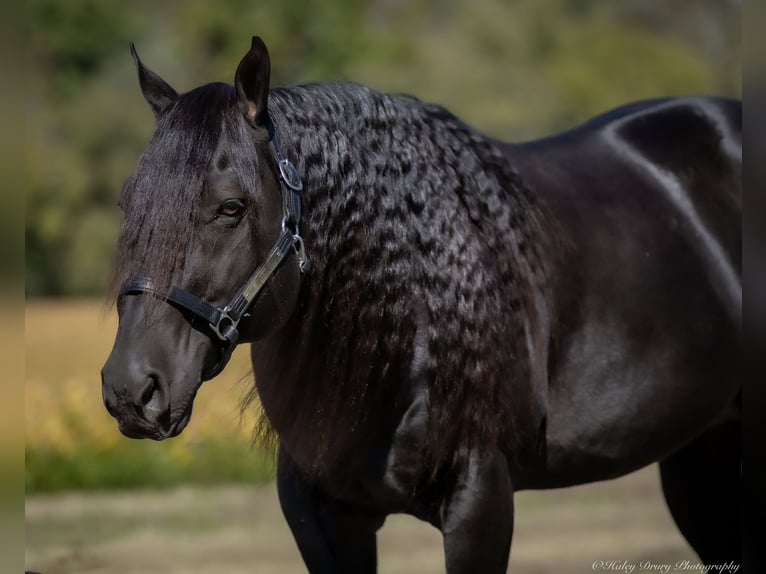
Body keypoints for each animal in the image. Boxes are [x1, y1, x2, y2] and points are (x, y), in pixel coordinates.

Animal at [101, 36, 741, 572]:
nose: (131, 389)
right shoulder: (321, 518)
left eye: (231, 208)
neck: (411, 328)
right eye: (130, 201)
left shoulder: (480, 502)